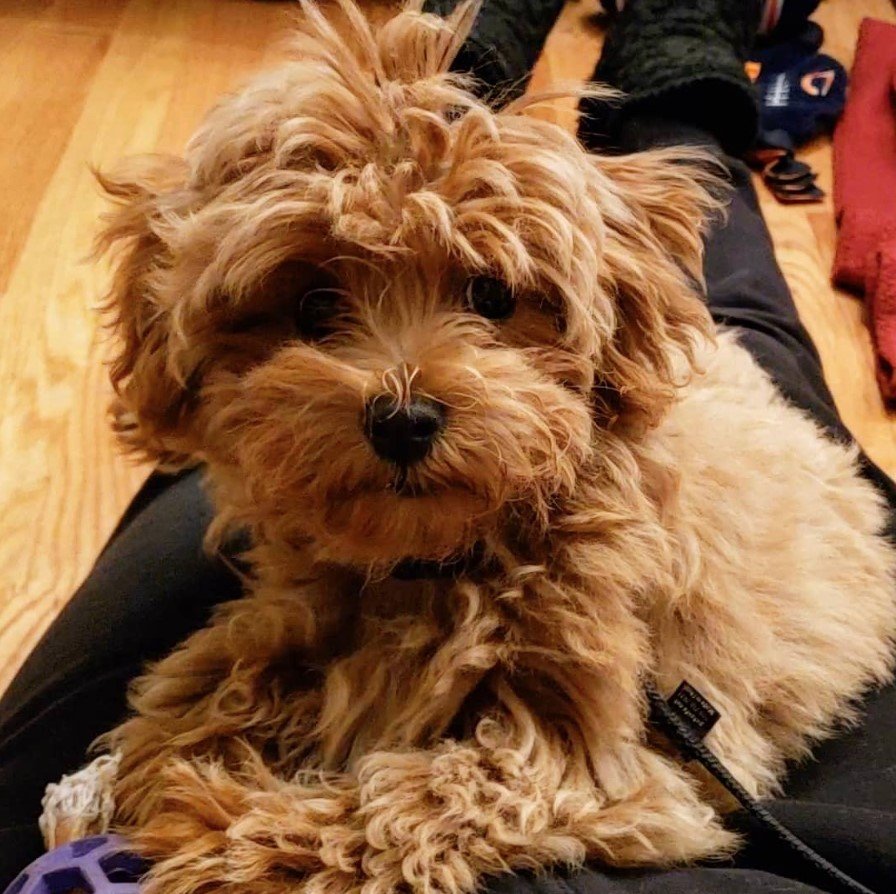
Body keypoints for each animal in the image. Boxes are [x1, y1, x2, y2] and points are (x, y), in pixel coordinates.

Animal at [91, 1, 896, 894]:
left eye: (493, 296)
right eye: (312, 306)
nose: (402, 419)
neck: (443, 558)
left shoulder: (618, 759)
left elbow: (426, 799)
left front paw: (222, 830)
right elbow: (239, 661)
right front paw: (177, 731)